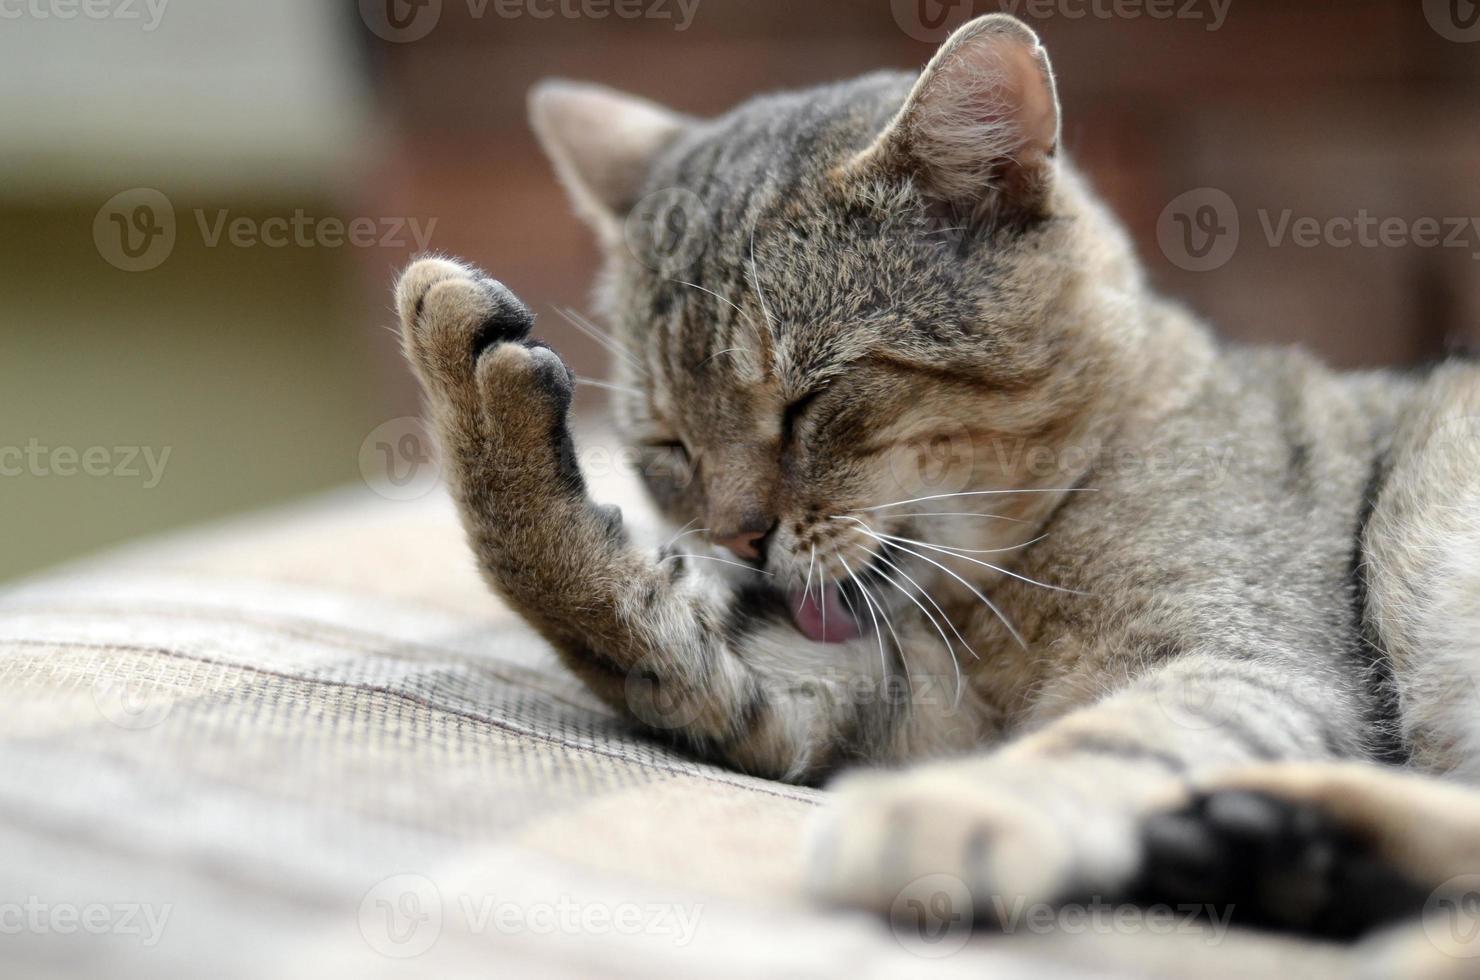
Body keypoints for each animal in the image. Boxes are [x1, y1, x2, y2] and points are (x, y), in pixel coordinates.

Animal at [393, 13, 1480, 953]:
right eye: (669, 444)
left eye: (809, 400)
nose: (738, 536)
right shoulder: (874, 695)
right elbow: (606, 614)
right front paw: (470, 393)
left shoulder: (1255, 659)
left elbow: (1103, 739)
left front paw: (958, 808)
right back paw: (1288, 853)